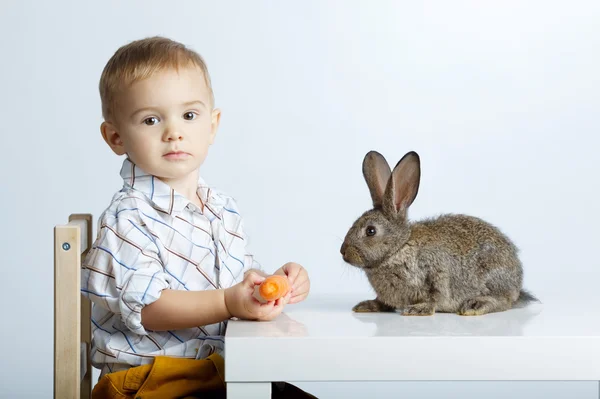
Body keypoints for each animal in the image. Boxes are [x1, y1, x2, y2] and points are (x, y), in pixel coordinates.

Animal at [340, 152, 536, 318]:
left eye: (370, 231)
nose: (343, 252)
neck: (399, 247)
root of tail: (517, 282)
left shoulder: (437, 273)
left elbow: (436, 296)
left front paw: (418, 309)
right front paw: (368, 305)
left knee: (504, 301)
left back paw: (474, 306)